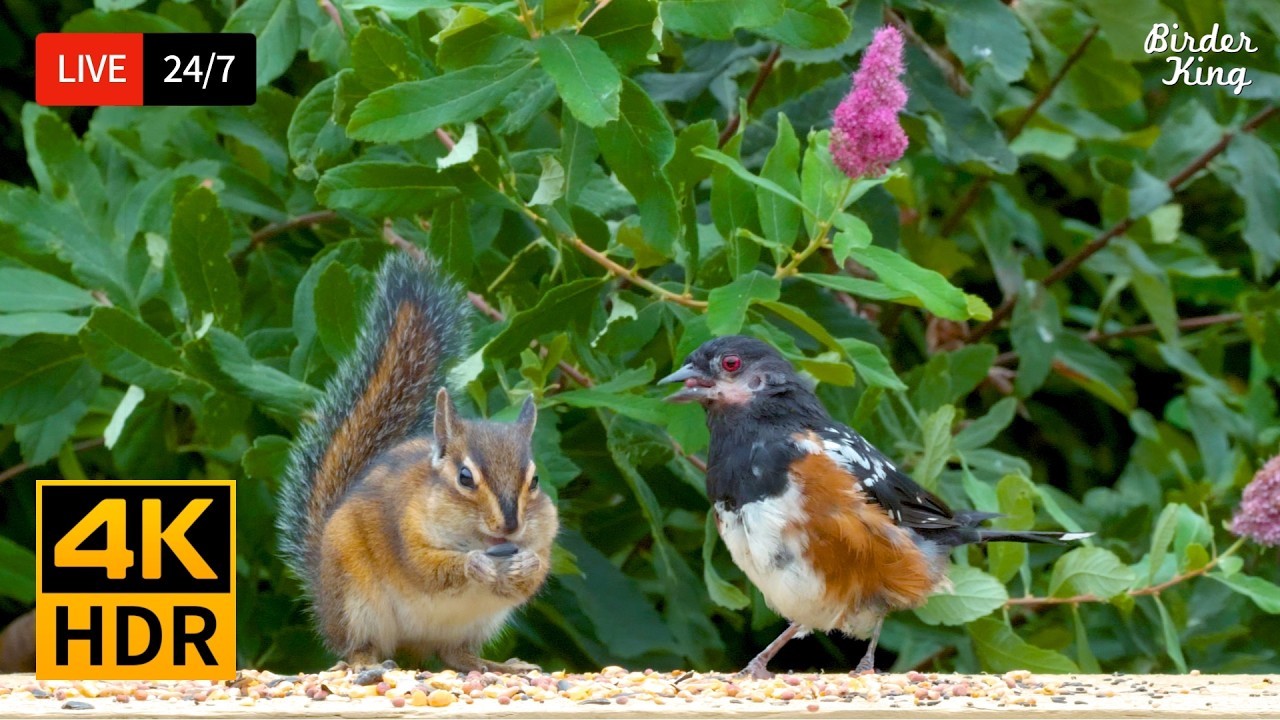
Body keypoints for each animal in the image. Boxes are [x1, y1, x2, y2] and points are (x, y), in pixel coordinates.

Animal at [277, 253, 559, 673]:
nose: (510, 526)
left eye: (535, 480)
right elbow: (427, 568)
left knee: (456, 655)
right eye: (464, 477)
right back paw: (365, 663)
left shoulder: (543, 538)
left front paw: (525, 566)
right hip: (353, 601)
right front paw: (474, 564)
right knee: (359, 646)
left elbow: (535, 572)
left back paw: (500, 665)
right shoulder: (406, 532)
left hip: (476, 626)